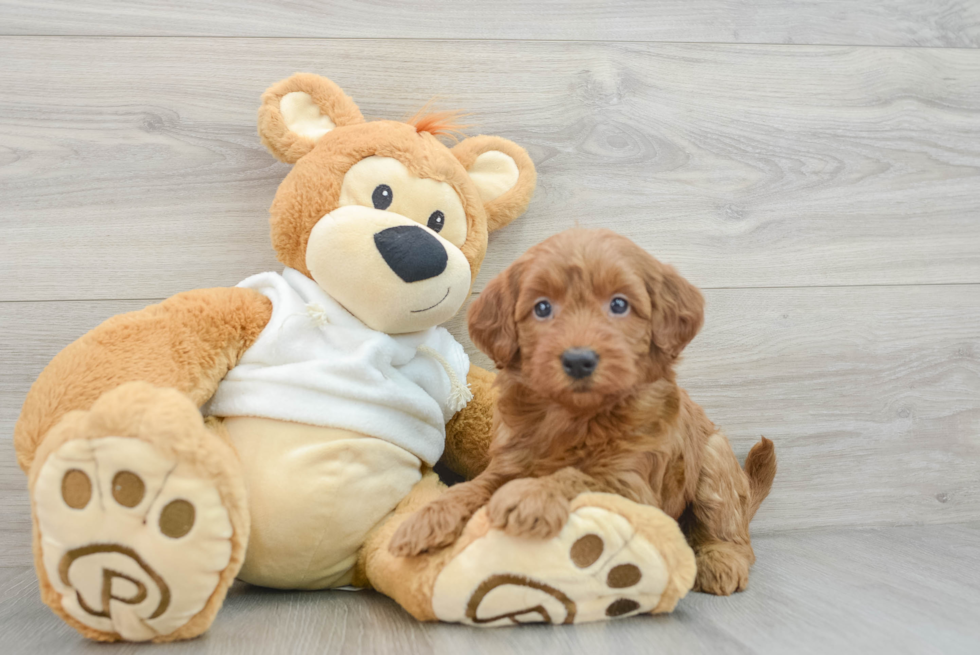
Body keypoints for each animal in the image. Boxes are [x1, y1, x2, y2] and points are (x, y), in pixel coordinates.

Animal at [386, 228, 776, 596]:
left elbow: (581, 475)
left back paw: (721, 561)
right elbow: (475, 486)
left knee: (732, 534)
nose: (578, 360)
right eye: (542, 308)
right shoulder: (510, 460)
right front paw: (426, 518)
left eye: (619, 304)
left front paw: (531, 495)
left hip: (715, 462)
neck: (575, 417)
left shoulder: (634, 485)